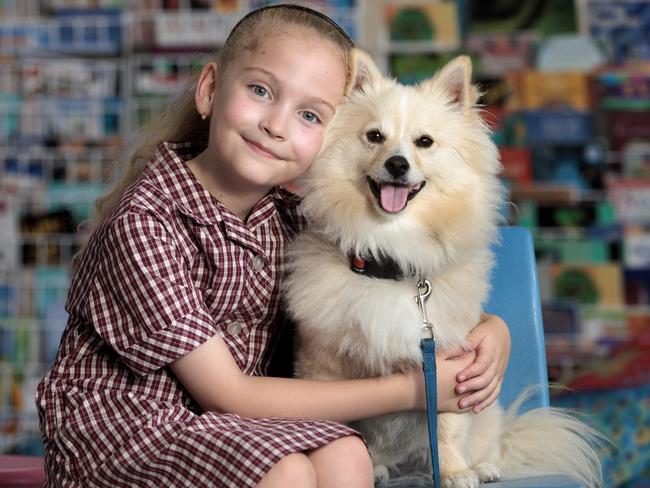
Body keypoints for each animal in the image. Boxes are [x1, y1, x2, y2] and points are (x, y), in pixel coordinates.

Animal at [284, 49, 604, 488]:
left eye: (424, 142)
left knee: (489, 443)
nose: (397, 164)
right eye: (375, 137)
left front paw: (453, 472)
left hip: (487, 414)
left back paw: (483, 466)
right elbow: (341, 423)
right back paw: (381, 467)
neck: (393, 253)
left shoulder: (452, 368)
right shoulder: (323, 369)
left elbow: (448, 428)